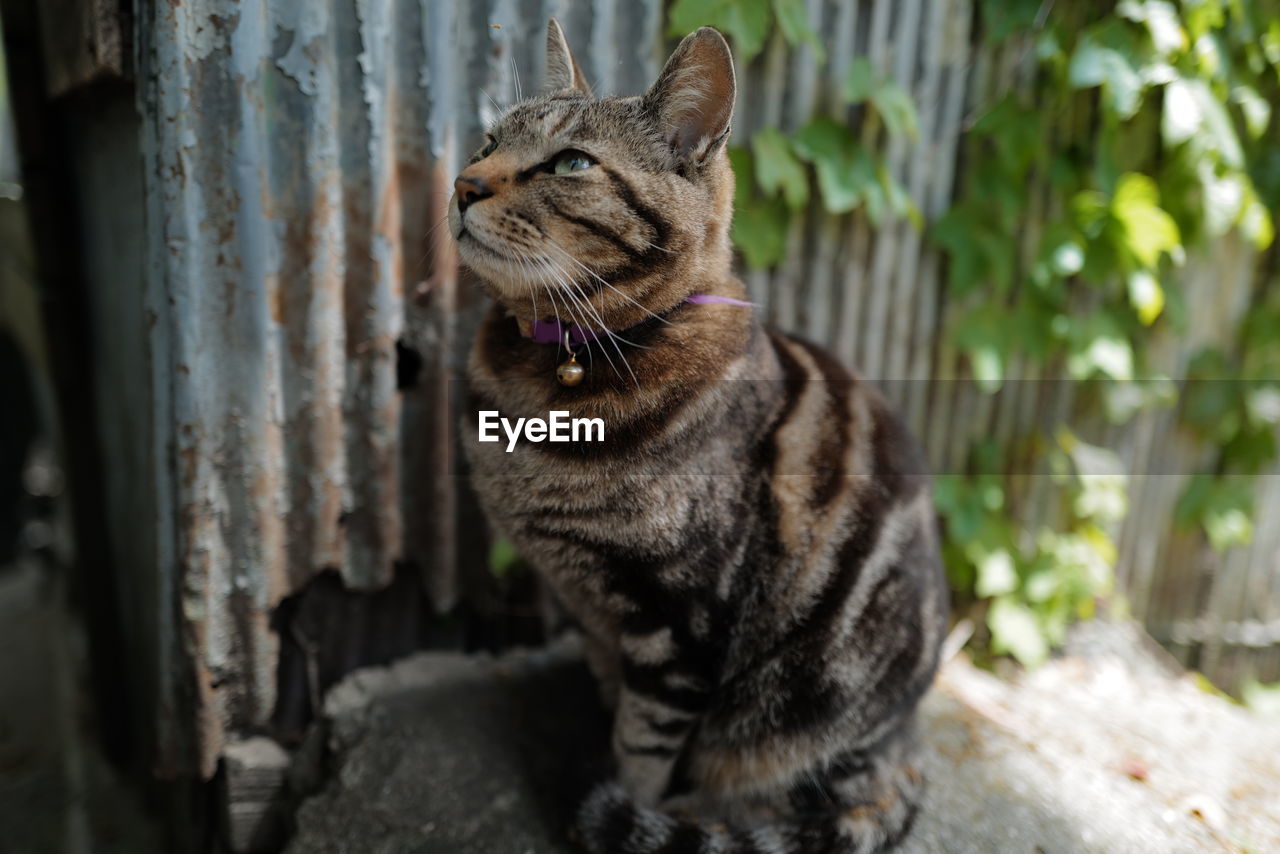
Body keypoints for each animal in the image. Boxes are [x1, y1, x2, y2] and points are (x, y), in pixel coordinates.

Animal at [450, 20, 952, 854]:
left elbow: (642, 752)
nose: (462, 184)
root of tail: (907, 747)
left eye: (571, 162)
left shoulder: (680, 622)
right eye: (487, 142)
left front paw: (623, 805)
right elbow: (613, 701)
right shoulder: (597, 620)